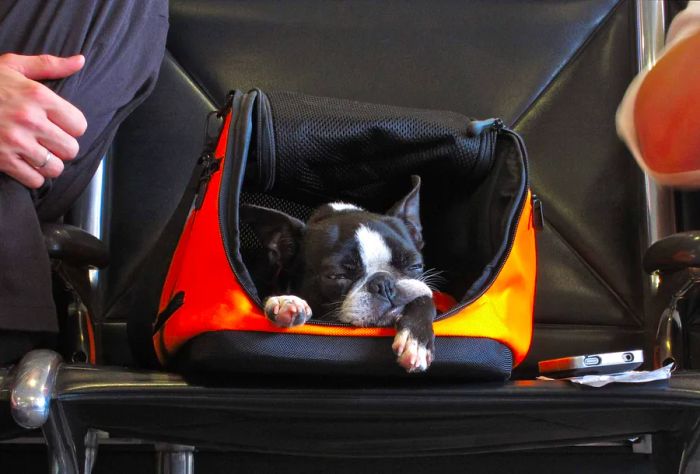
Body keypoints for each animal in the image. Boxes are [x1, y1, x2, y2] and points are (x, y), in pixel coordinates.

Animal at [243, 176, 434, 372]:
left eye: (415, 265)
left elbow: (425, 298)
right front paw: (285, 302)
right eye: (336, 276)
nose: (384, 283)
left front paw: (415, 340)